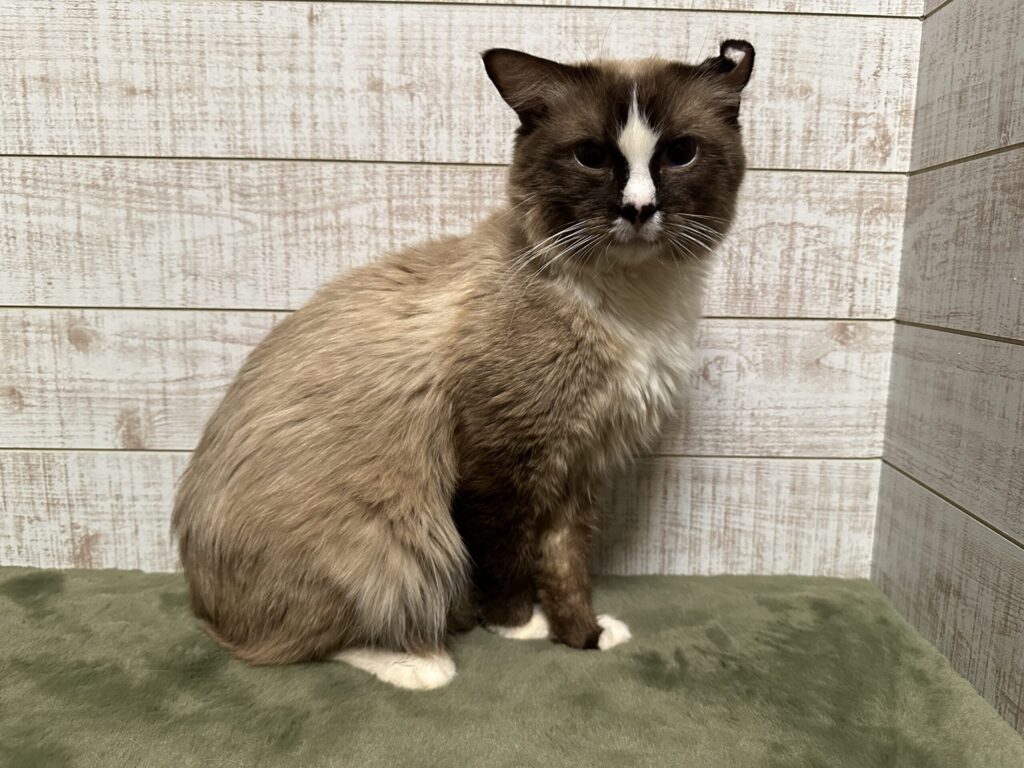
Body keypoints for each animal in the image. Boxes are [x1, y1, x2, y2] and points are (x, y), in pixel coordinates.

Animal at [172, 40, 755, 690]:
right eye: (590, 157)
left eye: (680, 155)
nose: (638, 208)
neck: (635, 302)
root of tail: (204, 605)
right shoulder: (504, 461)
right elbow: (507, 556)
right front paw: (520, 627)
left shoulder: (579, 465)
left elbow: (565, 565)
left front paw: (584, 635)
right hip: (397, 543)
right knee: (294, 645)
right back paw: (425, 664)